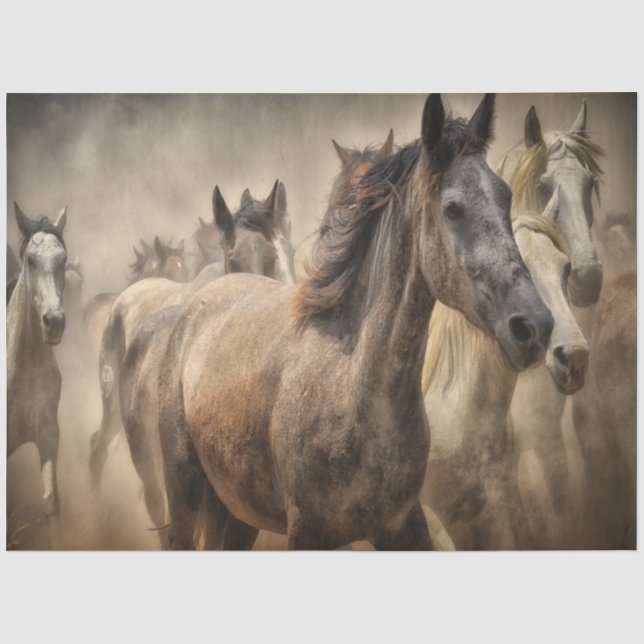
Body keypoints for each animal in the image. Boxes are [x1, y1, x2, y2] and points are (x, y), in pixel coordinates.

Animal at [156, 93, 553, 550]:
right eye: (453, 208)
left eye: (506, 197)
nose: (534, 327)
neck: (354, 382)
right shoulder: (308, 533)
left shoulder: (402, 524)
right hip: (183, 495)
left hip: (239, 513)